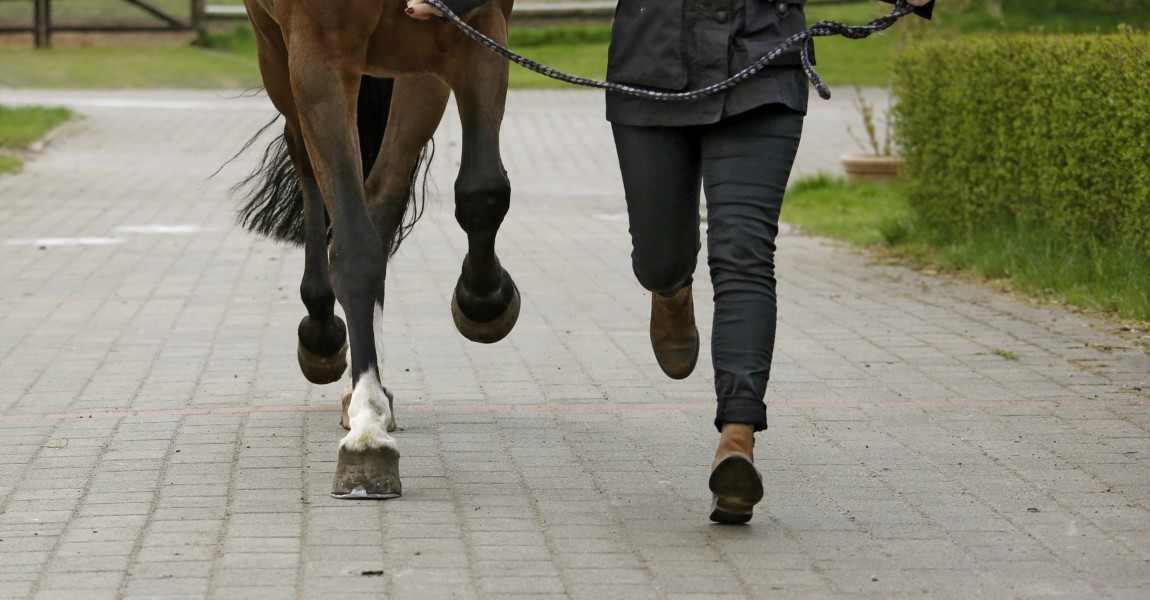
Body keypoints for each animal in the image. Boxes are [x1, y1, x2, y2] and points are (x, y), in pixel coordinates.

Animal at [235, 0, 519, 496]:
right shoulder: (318, 56)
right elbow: (353, 249)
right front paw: (367, 435)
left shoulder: (476, 28)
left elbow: (483, 192)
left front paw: (485, 300)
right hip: (277, 58)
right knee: (306, 162)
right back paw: (324, 337)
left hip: (415, 70)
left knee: (383, 194)